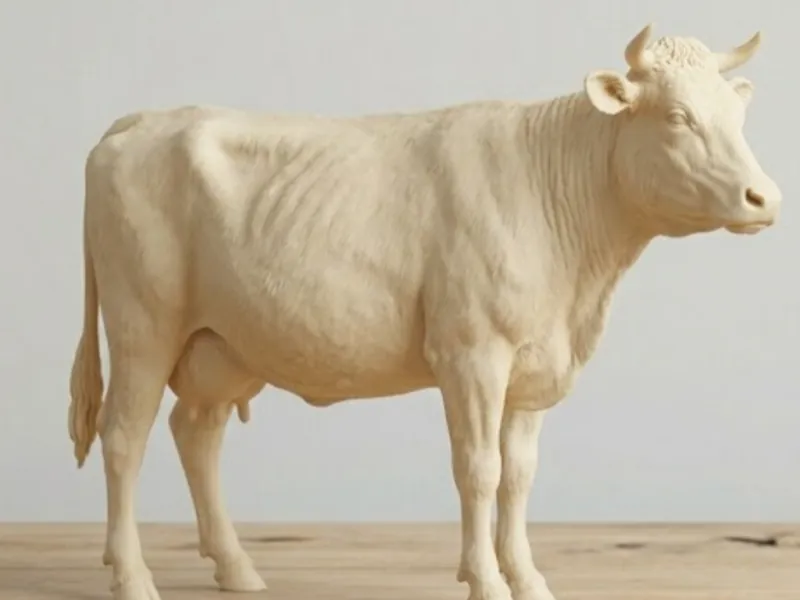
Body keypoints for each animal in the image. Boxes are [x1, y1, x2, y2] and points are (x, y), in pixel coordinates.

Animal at [68, 23, 780, 600]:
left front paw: (528, 578)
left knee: (197, 433)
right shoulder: (472, 352)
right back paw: (133, 577)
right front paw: (485, 580)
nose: (764, 197)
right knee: (123, 437)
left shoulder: (533, 364)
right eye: (679, 116)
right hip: (142, 327)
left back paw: (236, 567)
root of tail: (141, 121)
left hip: (223, 343)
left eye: (735, 115)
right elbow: (479, 470)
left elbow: (520, 477)